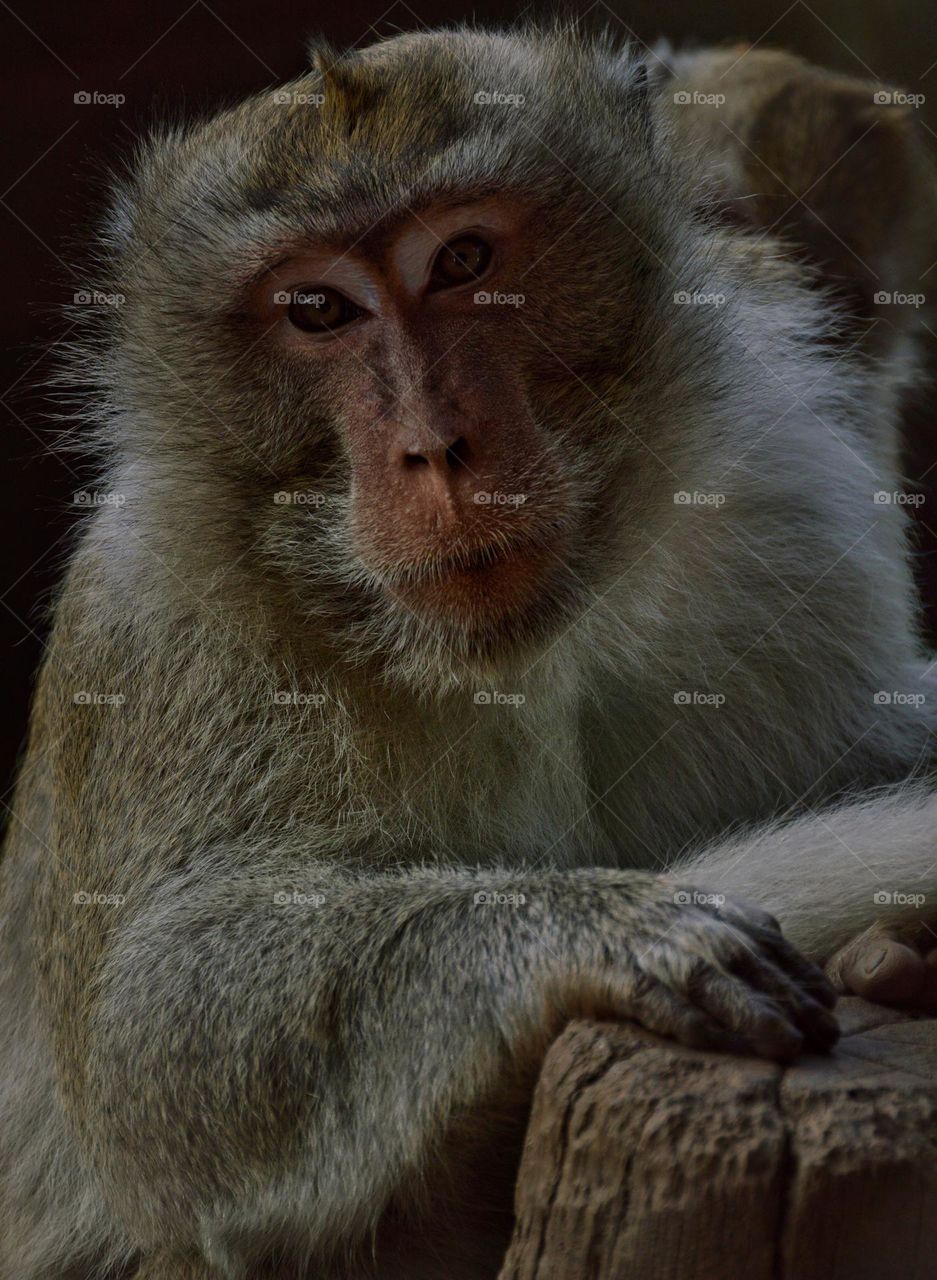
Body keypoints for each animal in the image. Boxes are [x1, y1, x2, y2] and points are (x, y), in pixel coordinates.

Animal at [3, 23, 937, 1280]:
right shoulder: (158, 610)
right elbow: (147, 1046)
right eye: (316, 308)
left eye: (463, 258)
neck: (503, 656)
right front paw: (596, 927)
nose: (433, 447)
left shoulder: (782, 489)